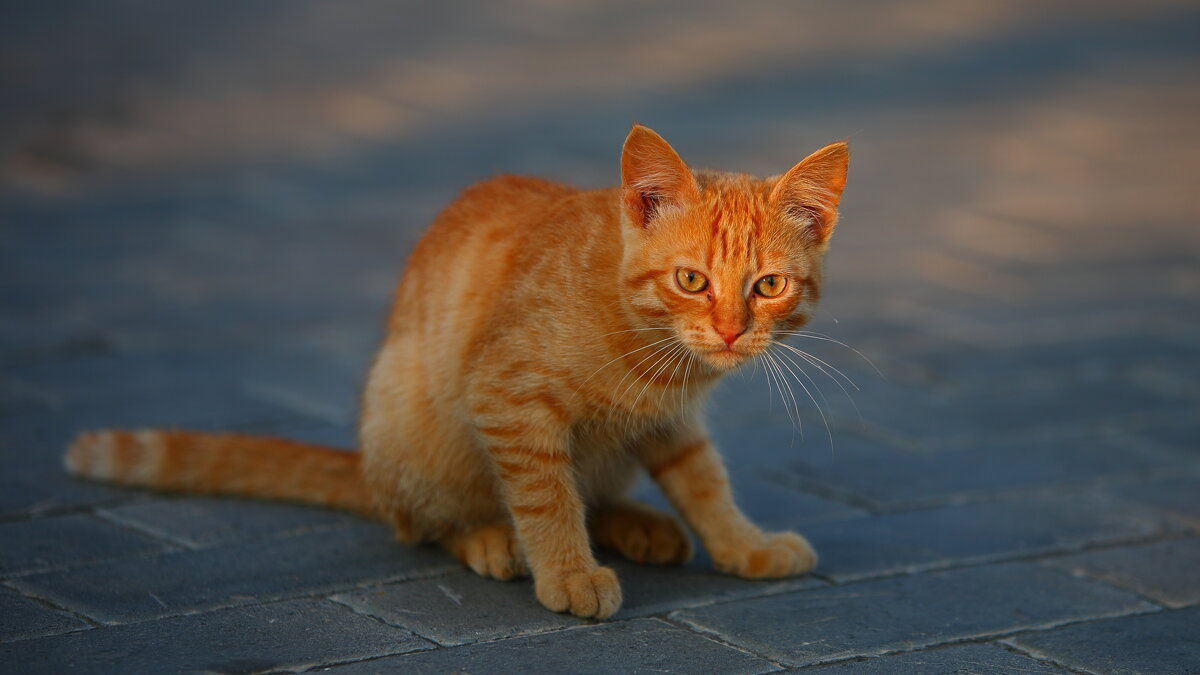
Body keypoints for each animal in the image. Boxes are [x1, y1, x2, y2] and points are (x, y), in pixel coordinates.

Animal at [65, 123, 849, 619]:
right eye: (691, 280)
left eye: (768, 286)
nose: (730, 330)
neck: (650, 352)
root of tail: (369, 467)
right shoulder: (504, 397)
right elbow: (545, 496)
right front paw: (566, 570)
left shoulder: (673, 421)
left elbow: (703, 481)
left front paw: (743, 544)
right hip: (410, 416)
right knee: (419, 521)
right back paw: (489, 537)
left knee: (591, 490)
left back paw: (636, 524)